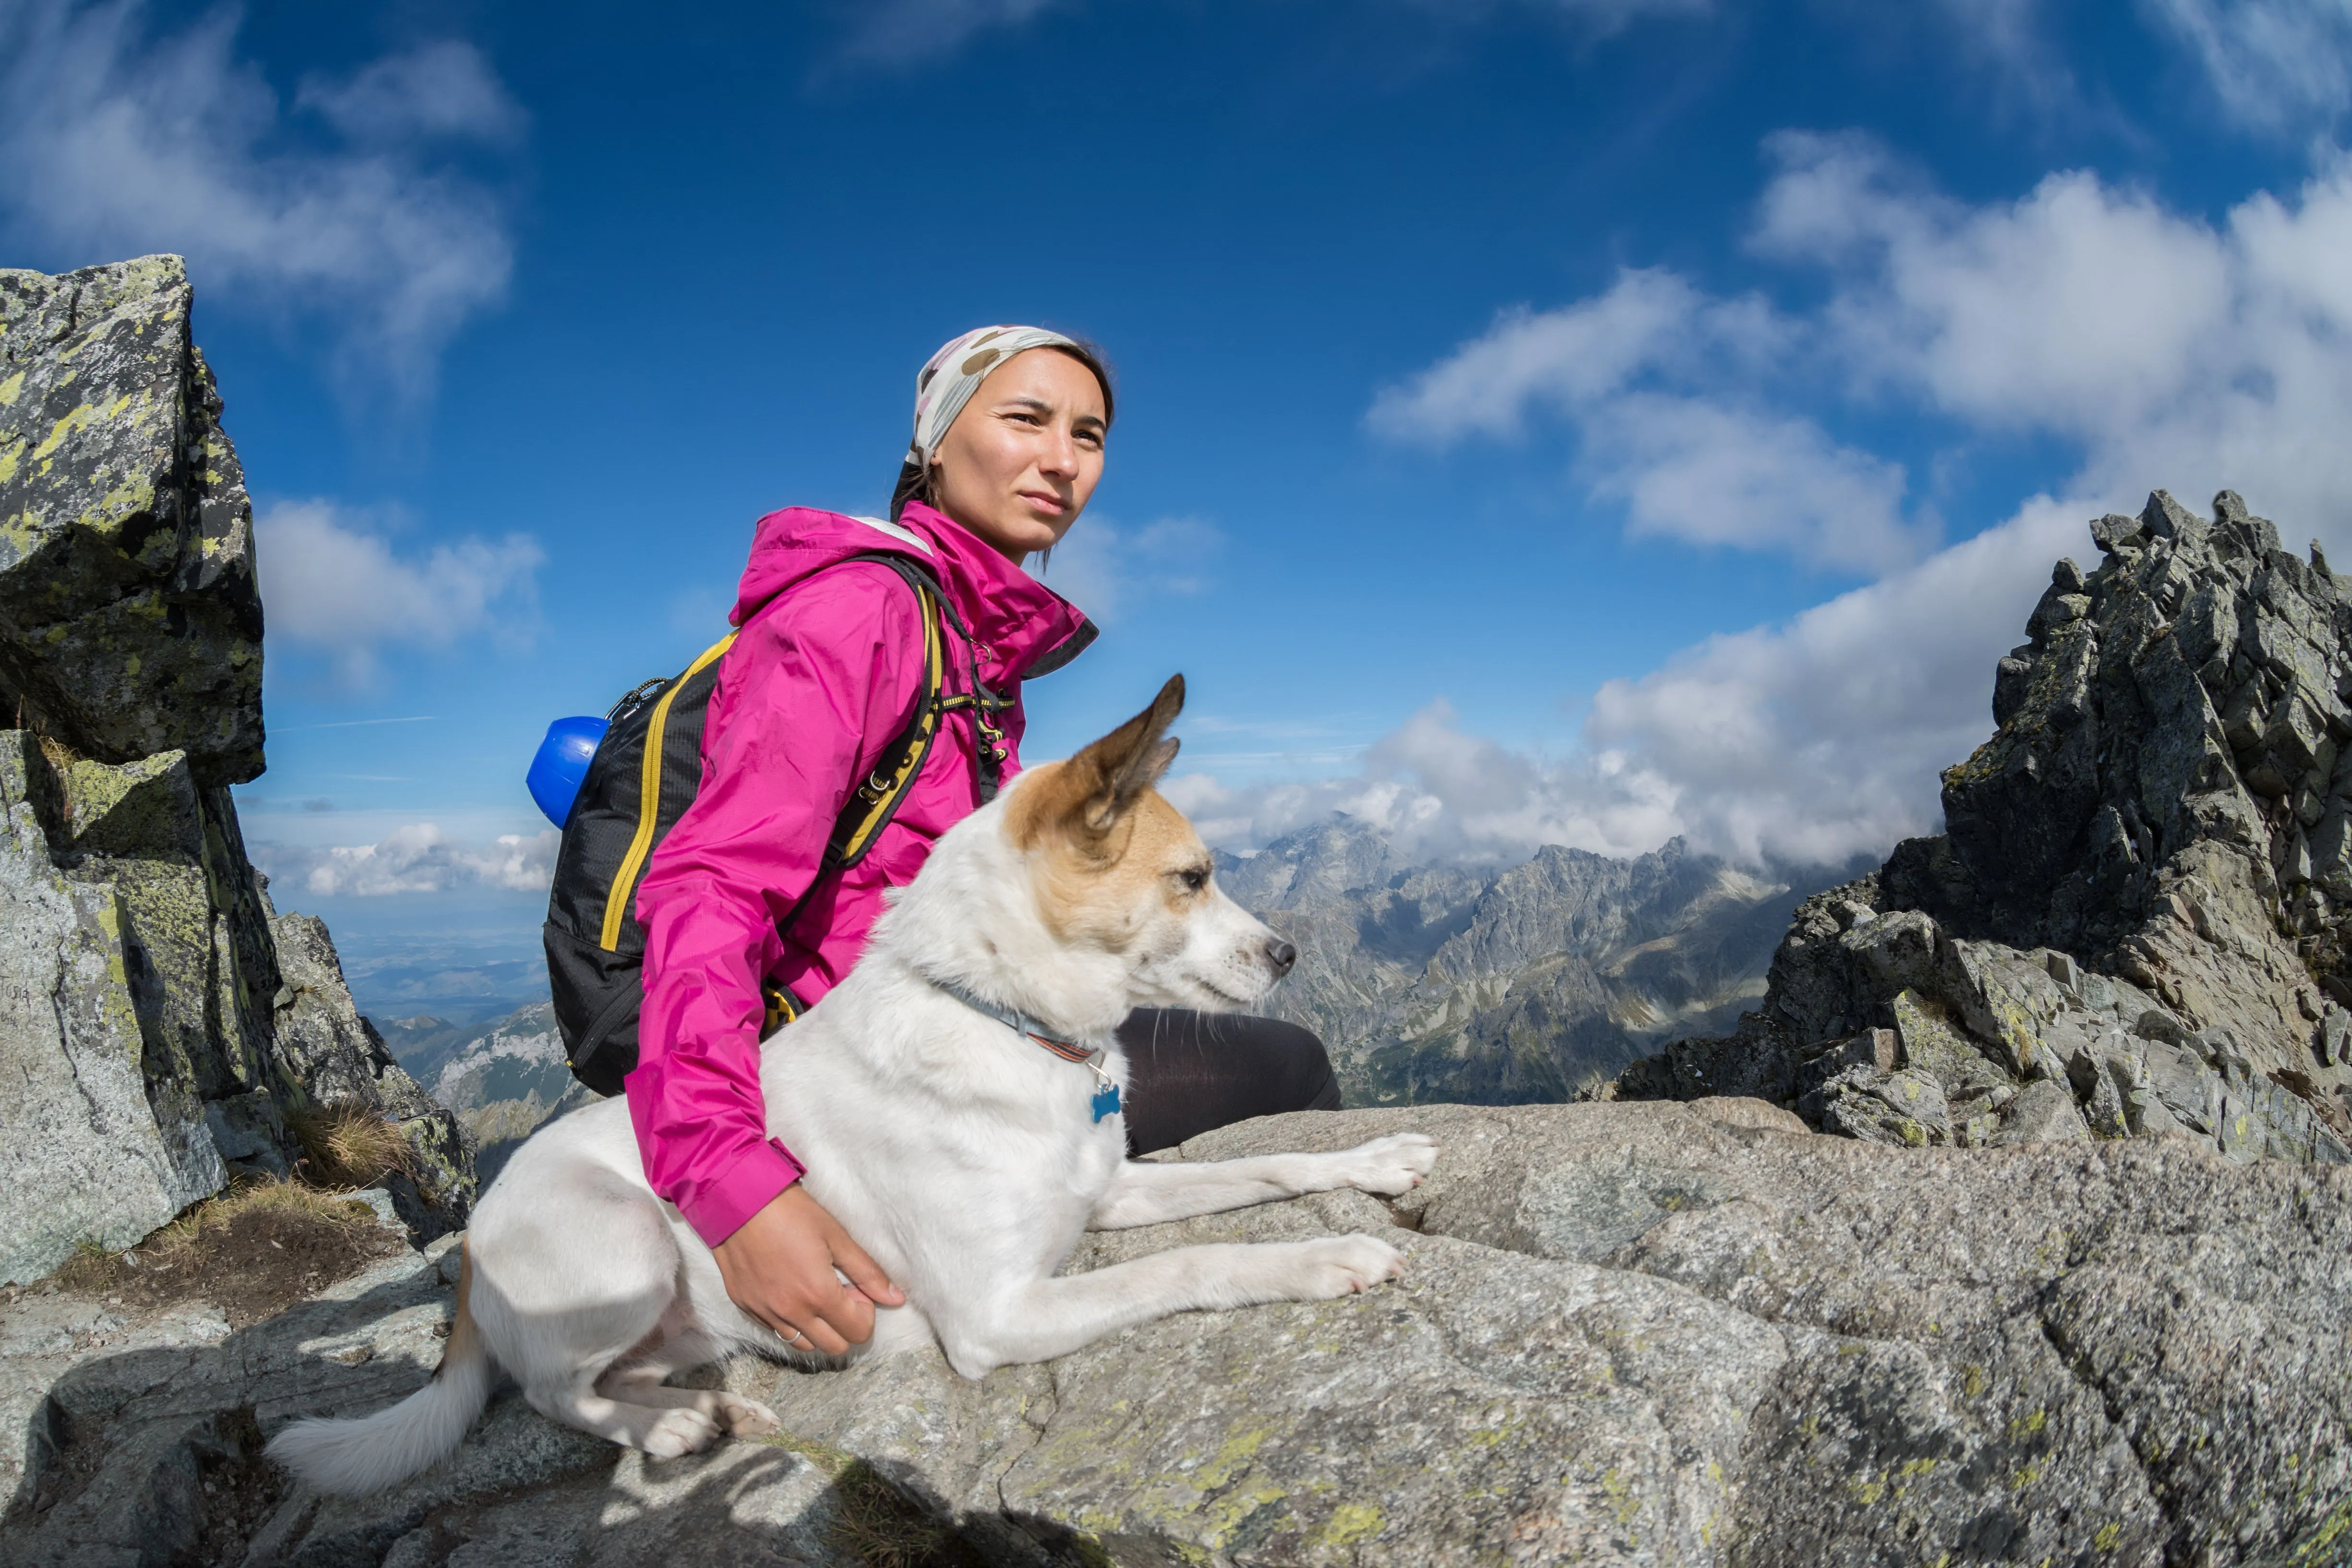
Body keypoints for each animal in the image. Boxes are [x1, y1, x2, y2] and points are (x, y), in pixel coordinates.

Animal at [277, 677, 1449, 1495]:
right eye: (1192, 878)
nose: (1290, 954)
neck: (1007, 1022)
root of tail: (474, 1249)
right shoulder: (995, 1314)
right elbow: (1194, 1261)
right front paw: (1323, 1259)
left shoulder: (1109, 1191)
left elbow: (1267, 1161)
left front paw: (1375, 1160)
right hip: (623, 1239)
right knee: (559, 1393)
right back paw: (667, 1426)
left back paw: (709, 1407)